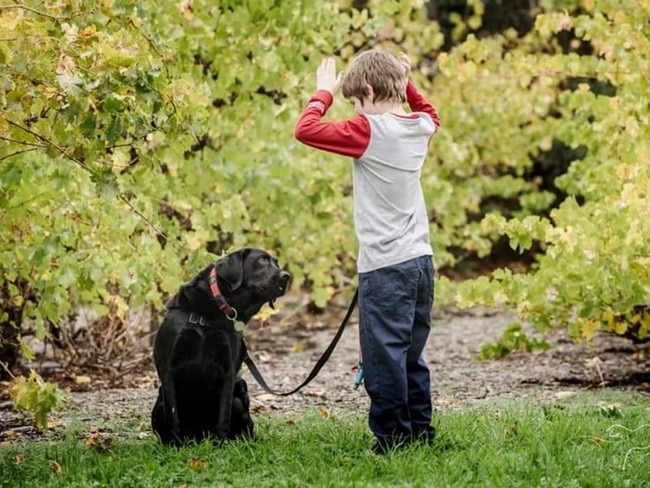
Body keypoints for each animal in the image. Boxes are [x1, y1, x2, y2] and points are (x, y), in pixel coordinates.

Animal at [151, 250, 290, 444]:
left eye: (277, 263)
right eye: (261, 259)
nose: (287, 276)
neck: (210, 315)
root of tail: (199, 437)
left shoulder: (228, 370)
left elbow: (223, 415)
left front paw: (222, 444)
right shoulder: (168, 368)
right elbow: (173, 414)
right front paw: (174, 445)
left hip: (239, 396)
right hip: (159, 404)